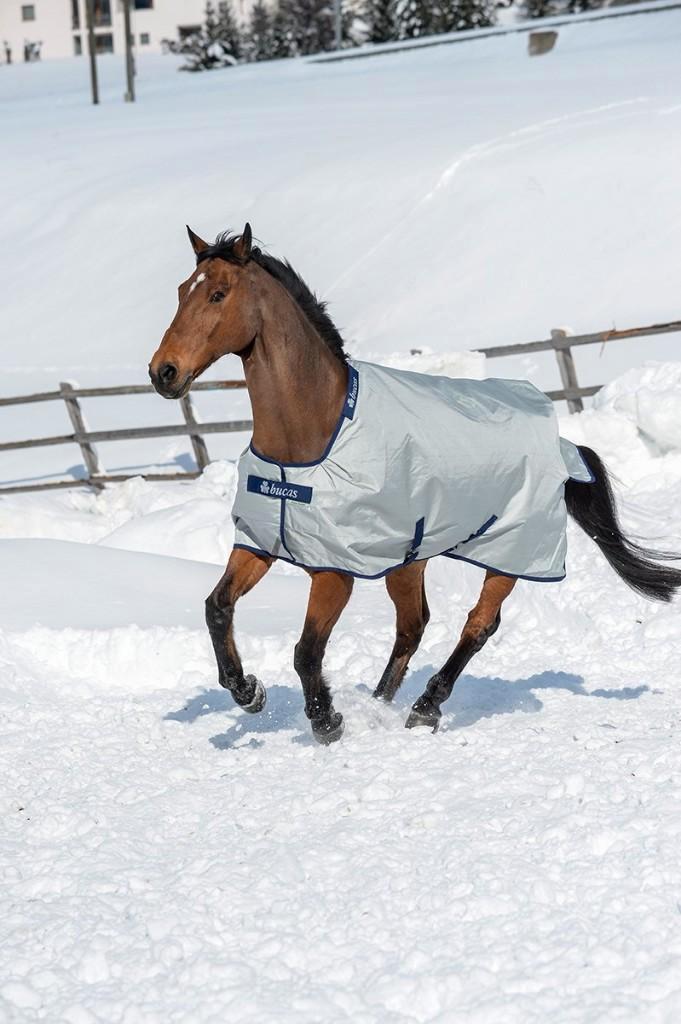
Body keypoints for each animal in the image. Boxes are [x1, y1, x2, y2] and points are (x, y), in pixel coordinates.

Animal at [149, 224, 681, 744]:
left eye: (218, 293)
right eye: (180, 292)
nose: (163, 372)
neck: (311, 436)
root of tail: (562, 443)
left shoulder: (335, 571)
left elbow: (306, 650)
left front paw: (326, 721)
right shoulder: (260, 544)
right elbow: (217, 608)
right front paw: (248, 692)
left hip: (509, 554)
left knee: (478, 624)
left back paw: (424, 709)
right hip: (409, 558)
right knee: (413, 626)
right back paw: (379, 706)